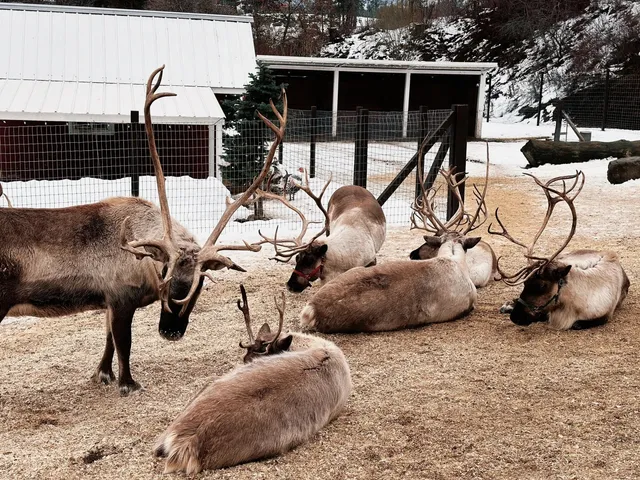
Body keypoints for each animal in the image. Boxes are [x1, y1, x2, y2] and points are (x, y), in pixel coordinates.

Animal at [0, 66, 288, 395]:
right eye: (165, 272)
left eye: (200, 281)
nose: (171, 331)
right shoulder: (121, 298)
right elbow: (123, 344)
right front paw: (128, 383)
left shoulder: (109, 302)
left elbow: (109, 341)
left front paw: (103, 373)